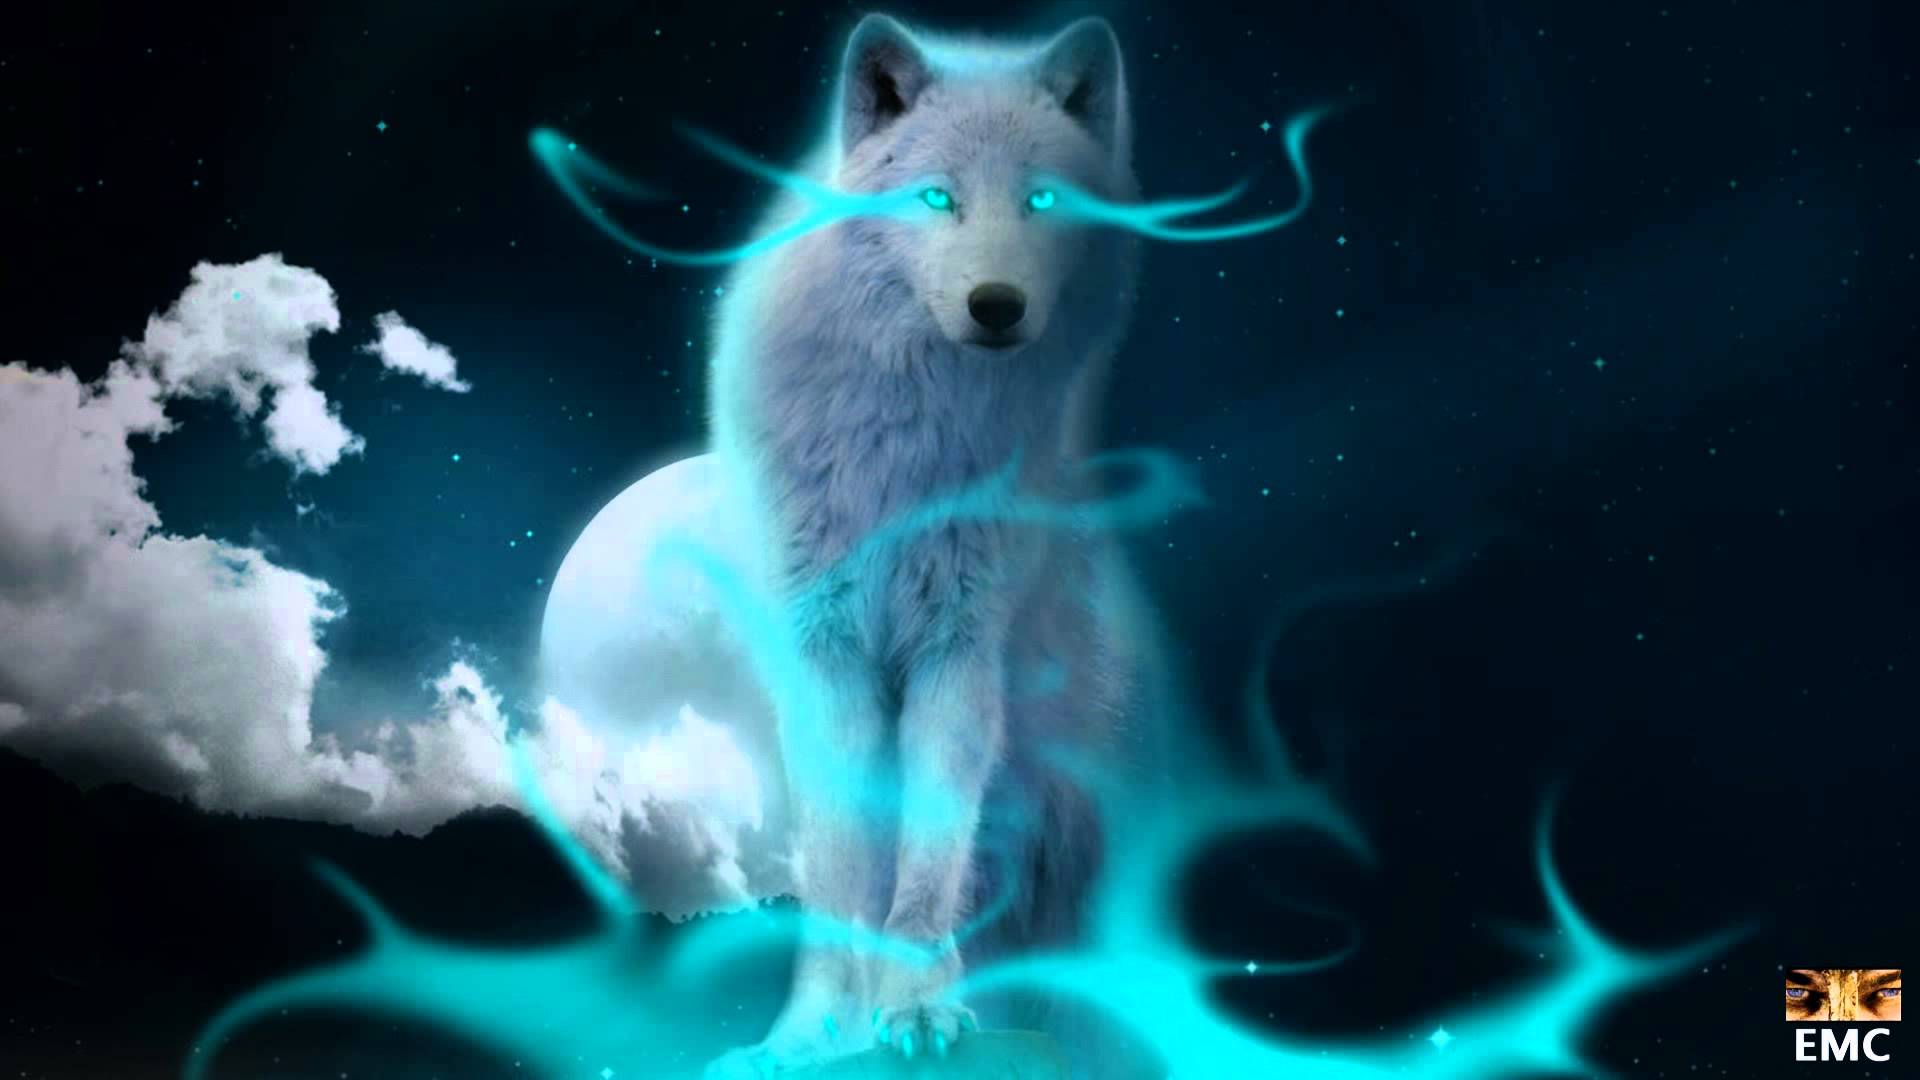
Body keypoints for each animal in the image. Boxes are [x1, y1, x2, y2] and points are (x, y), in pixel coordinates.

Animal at [704, 14, 1167, 1077]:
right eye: (937, 197)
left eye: (1042, 197)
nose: (997, 303)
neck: (903, 447)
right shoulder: (823, 653)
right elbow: (840, 871)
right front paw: (812, 1033)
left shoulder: (960, 650)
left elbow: (926, 860)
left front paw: (915, 1009)